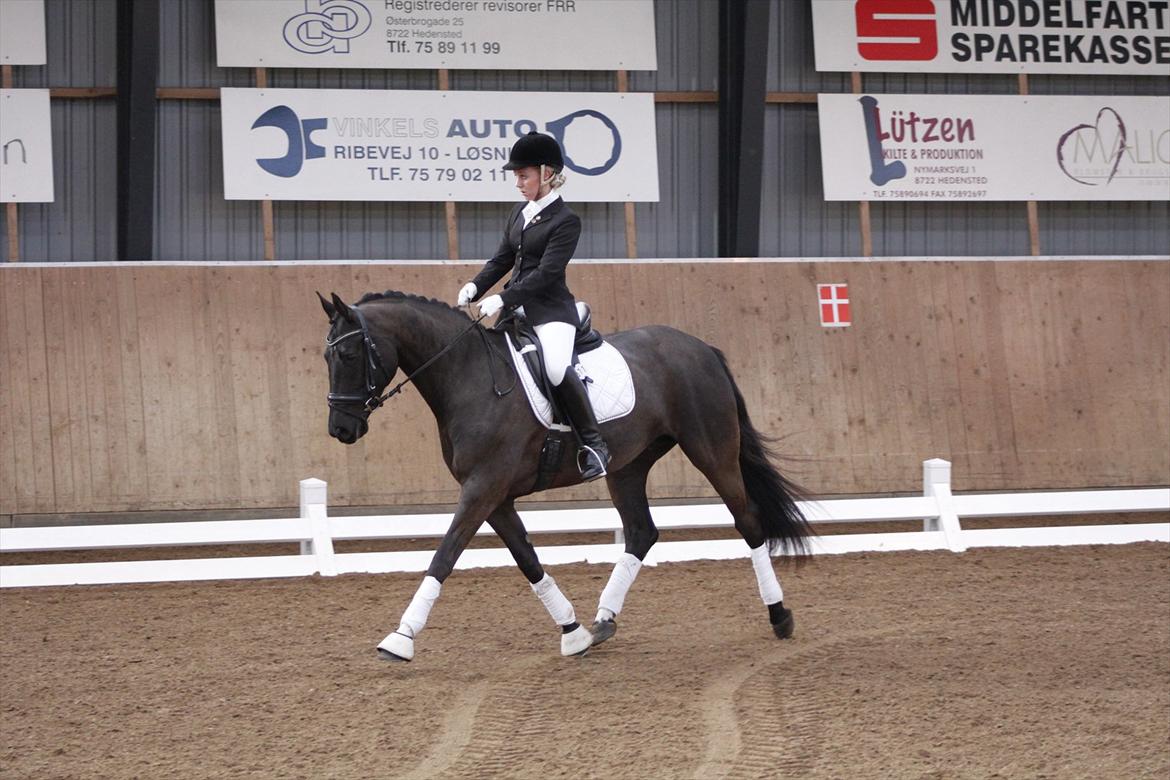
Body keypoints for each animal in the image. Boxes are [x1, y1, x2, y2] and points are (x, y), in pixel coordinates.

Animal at [320, 290, 814, 664]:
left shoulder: (482, 489)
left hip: (712, 451)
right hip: (628, 465)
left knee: (748, 522)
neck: (470, 377)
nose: (340, 430)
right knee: (641, 533)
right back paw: (603, 621)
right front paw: (573, 633)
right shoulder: (495, 497)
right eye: (326, 355)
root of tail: (701, 348)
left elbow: (444, 555)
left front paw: (400, 638)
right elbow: (528, 560)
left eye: (347, 352)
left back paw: (780, 617)